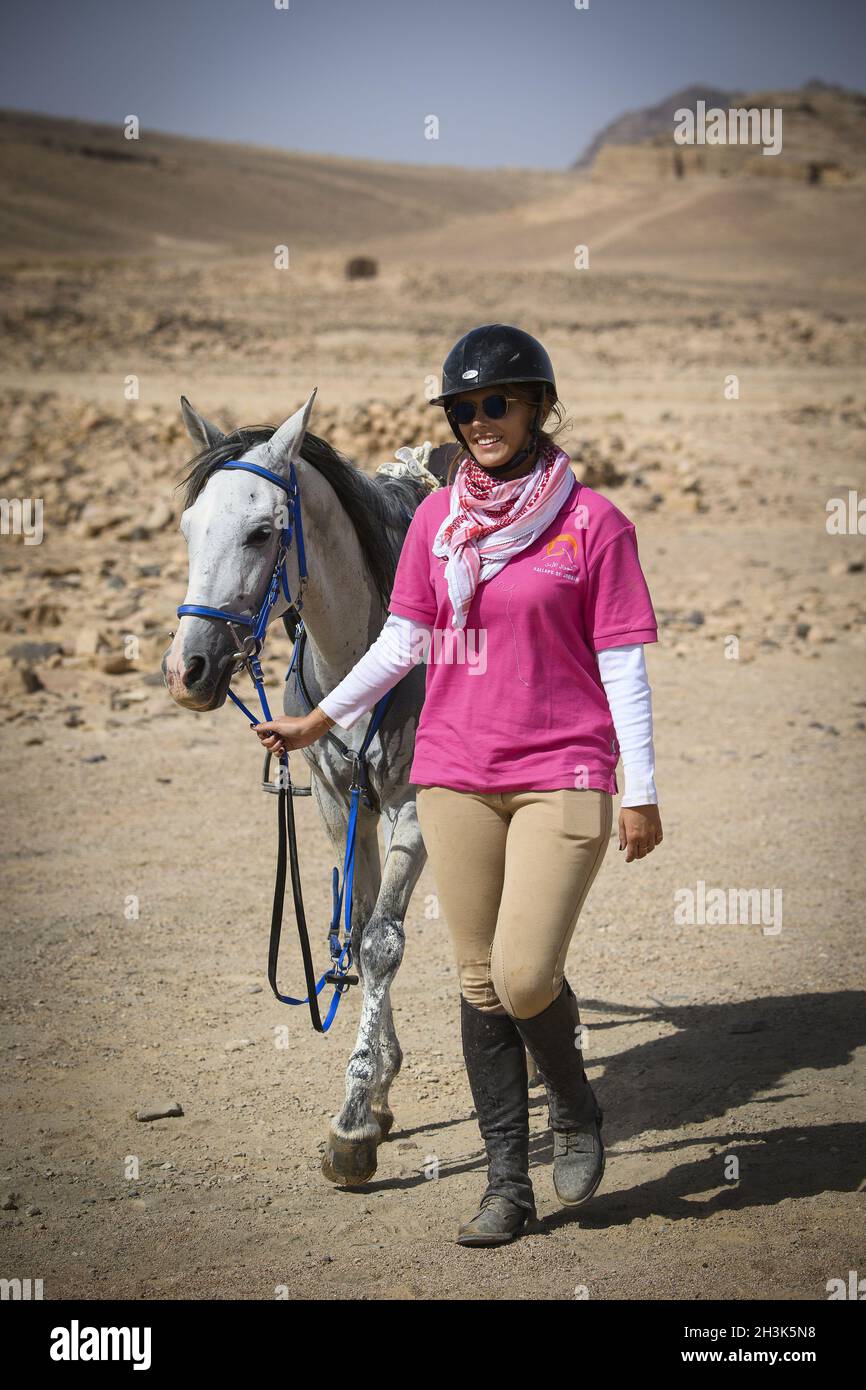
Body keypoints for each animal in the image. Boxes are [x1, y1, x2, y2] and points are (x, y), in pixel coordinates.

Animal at [164, 389, 447, 1184]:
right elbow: (356, 925)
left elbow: (382, 943)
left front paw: (352, 1121)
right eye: (189, 528)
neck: (364, 658)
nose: (188, 669)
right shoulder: (334, 804)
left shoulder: (414, 811)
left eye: (262, 532)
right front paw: (377, 1098)